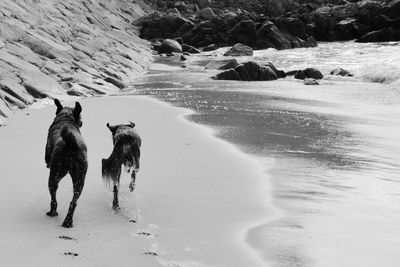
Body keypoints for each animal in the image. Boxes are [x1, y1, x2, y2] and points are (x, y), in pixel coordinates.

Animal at [45, 98, 88, 228]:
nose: (82, 122)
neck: (66, 117)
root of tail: (71, 144)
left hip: (54, 174)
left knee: (53, 197)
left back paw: (53, 212)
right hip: (80, 178)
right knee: (74, 201)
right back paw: (68, 221)